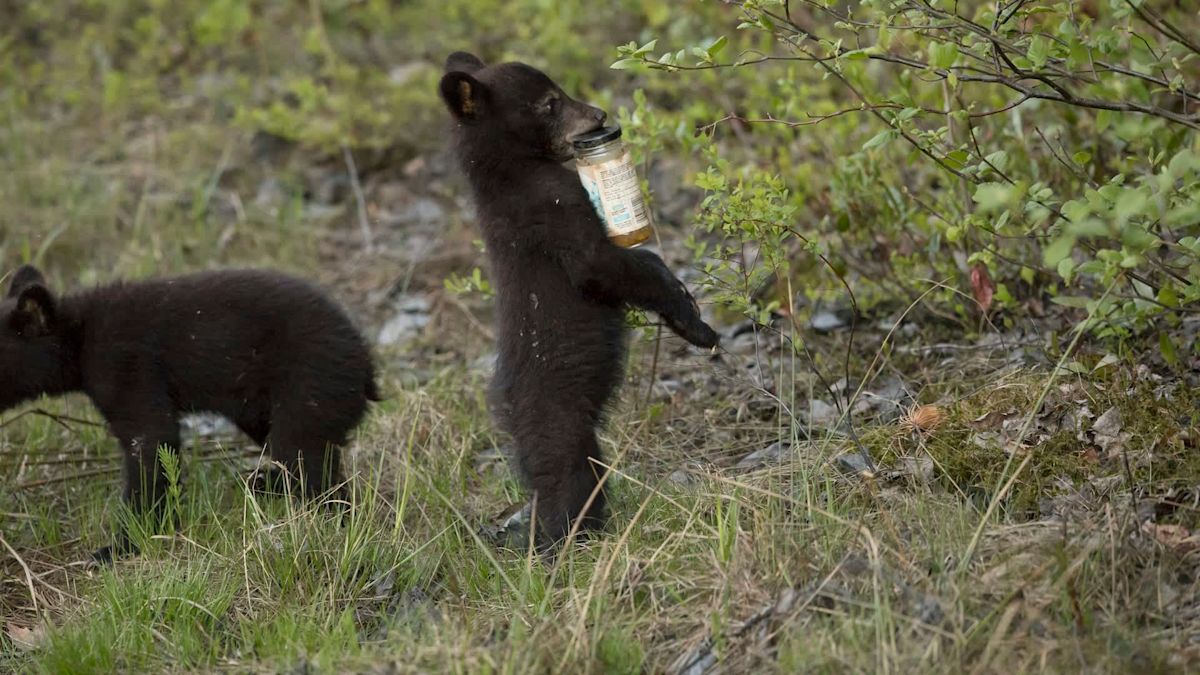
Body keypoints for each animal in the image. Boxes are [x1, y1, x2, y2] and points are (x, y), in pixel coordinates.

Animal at [0, 265, 380, 563]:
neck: (79, 337)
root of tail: (365, 362)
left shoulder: (128, 367)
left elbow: (151, 441)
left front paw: (123, 545)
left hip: (309, 383)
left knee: (306, 459)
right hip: (262, 405)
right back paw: (263, 483)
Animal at [438, 51, 719, 549]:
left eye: (559, 91)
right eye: (551, 103)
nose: (599, 116)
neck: (510, 172)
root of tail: (507, 408)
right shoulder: (548, 206)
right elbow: (601, 265)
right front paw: (692, 319)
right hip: (560, 417)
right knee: (569, 477)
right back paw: (566, 540)